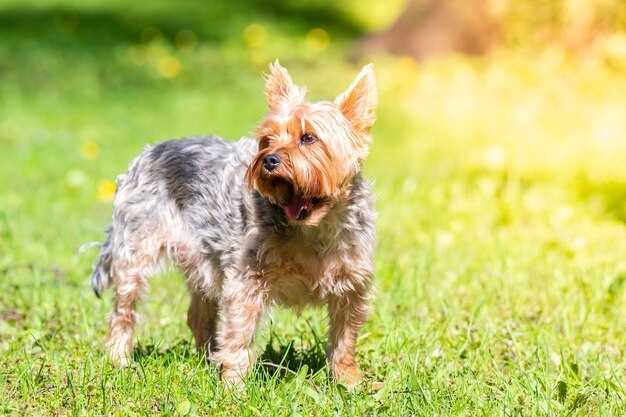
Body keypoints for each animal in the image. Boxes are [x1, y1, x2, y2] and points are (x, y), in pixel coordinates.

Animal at [91, 60, 376, 386]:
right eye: (267, 140)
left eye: (308, 138)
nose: (269, 159)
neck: (313, 228)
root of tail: (146, 153)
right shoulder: (246, 279)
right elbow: (240, 334)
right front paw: (234, 386)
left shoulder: (352, 285)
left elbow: (345, 337)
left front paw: (349, 382)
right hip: (137, 246)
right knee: (124, 309)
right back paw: (120, 360)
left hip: (203, 260)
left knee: (198, 314)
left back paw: (207, 360)